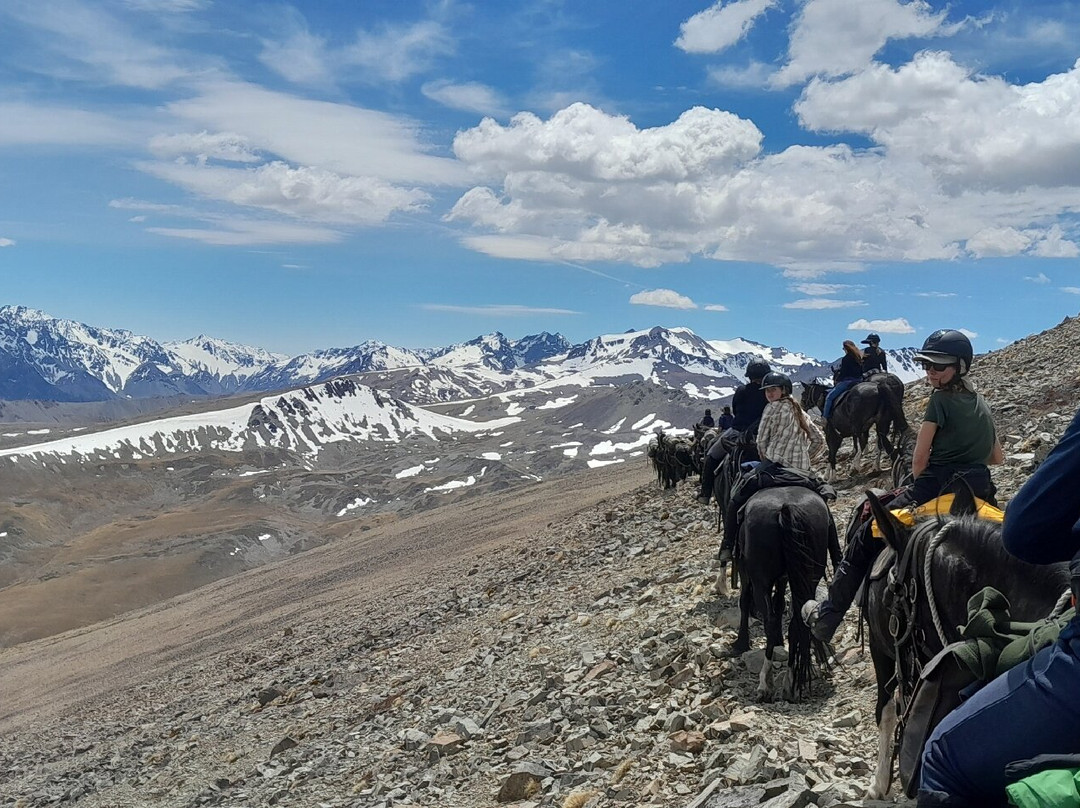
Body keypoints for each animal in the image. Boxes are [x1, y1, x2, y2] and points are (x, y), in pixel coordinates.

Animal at [725, 486, 833, 699]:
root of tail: (786, 508)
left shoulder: (747, 574)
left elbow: (745, 602)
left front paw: (741, 644)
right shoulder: (784, 578)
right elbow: (780, 602)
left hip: (761, 582)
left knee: (771, 621)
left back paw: (765, 683)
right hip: (809, 577)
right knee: (799, 619)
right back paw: (792, 679)